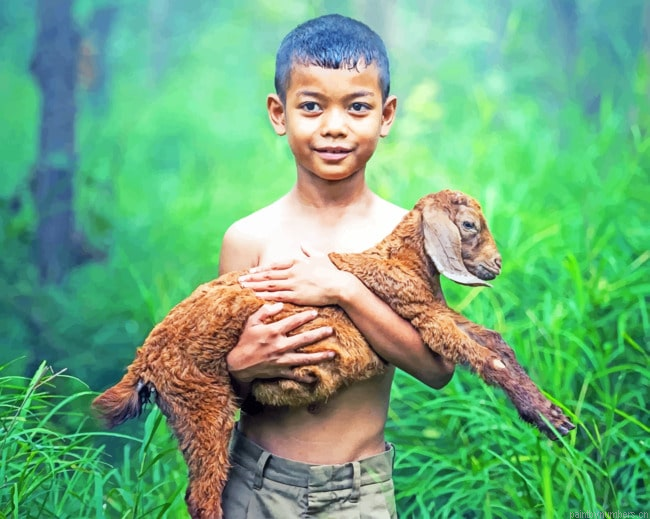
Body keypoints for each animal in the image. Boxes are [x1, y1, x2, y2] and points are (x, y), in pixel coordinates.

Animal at [92, 189, 575, 519]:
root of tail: (144, 361)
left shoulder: (436, 311)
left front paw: (552, 415)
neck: (401, 262)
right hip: (201, 401)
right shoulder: (422, 316)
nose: (496, 266)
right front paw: (548, 418)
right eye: (470, 226)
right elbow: (489, 360)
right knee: (202, 494)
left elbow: (496, 342)